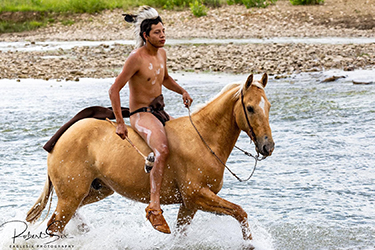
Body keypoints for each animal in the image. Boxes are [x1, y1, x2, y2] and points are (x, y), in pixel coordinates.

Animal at [25, 73, 274, 241]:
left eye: (269, 106)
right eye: (250, 108)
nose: (267, 146)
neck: (203, 138)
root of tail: (62, 137)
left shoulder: (189, 205)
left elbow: (181, 235)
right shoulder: (197, 195)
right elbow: (240, 212)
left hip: (95, 190)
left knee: (66, 218)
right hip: (71, 195)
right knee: (56, 225)